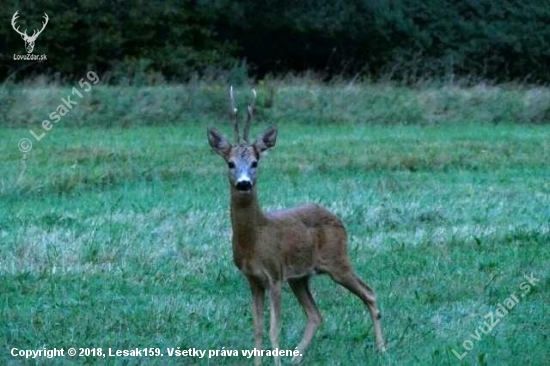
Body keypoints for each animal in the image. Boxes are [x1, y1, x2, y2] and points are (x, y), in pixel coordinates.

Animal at [208, 87, 388, 364]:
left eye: (255, 162)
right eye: (230, 163)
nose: (244, 183)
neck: (255, 240)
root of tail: (337, 219)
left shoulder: (274, 275)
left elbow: (274, 329)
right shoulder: (253, 279)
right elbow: (258, 330)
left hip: (338, 260)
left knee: (369, 293)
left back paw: (382, 348)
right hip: (301, 276)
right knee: (315, 315)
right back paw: (296, 358)